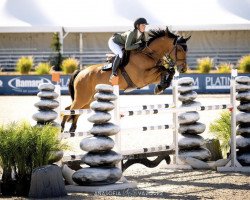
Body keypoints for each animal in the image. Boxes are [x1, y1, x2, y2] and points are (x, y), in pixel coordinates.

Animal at [61, 27, 190, 133]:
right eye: (179, 49)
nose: (183, 68)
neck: (148, 55)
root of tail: (80, 72)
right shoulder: (143, 78)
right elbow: (164, 69)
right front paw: (160, 86)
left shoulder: (151, 77)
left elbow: (168, 71)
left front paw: (161, 86)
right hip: (83, 97)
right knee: (69, 109)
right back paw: (61, 129)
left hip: (89, 100)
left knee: (74, 110)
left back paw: (72, 128)